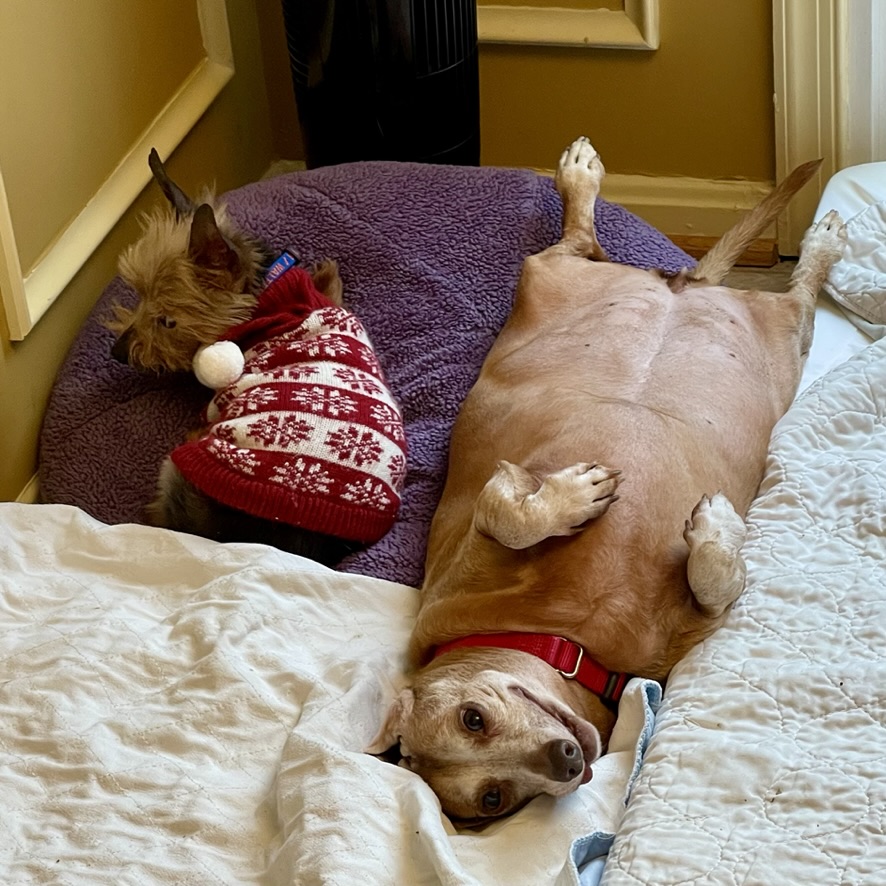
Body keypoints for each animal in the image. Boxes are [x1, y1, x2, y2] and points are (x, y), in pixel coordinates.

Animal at [109, 151, 406, 564]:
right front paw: (327, 270)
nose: (117, 352)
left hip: (180, 464)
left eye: (167, 321)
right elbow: (333, 285)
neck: (269, 290)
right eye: (137, 295)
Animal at [367, 137, 846, 822]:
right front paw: (714, 532)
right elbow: (717, 580)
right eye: (494, 799)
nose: (566, 762)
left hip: (710, 313)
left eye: (473, 718)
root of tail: (684, 282)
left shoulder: (477, 526)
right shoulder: (694, 633)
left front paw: (587, 501)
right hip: (756, 324)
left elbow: (507, 514)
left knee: (591, 243)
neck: (563, 641)